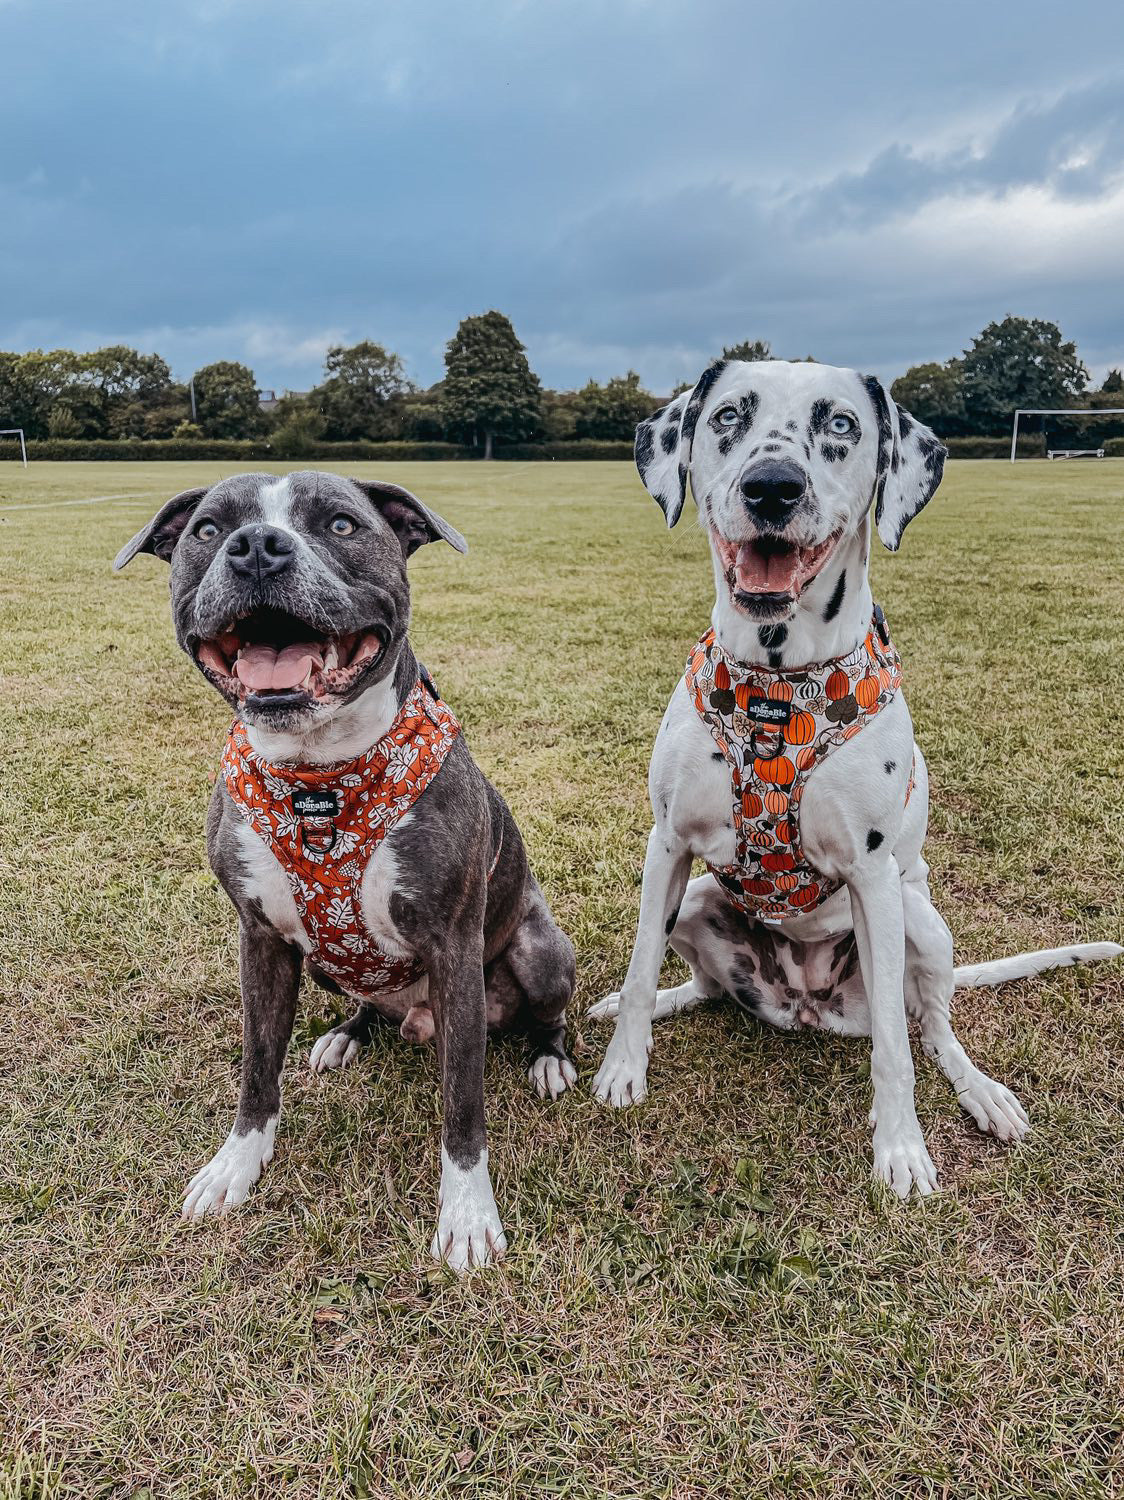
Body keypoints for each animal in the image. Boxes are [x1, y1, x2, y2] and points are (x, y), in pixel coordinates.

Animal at [114, 468, 573, 1266]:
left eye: (339, 525)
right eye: (207, 529)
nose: (257, 548)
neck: (316, 778)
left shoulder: (453, 945)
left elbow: (463, 1100)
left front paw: (466, 1212)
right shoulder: (260, 938)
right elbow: (256, 1066)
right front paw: (237, 1164)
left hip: (538, 950)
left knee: (544, 1014)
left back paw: (548, 1059)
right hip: (325, 963)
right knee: (362, 998)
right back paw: (345, 1036)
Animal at [591, 357, 1116, 1188]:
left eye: (839, 424)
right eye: (728, 416)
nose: (772, 487)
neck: (778, 689)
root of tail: (803, 1002)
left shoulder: (873, 880)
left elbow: (897, 1051)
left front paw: (900, 1147)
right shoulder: (667, 846)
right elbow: (642, 965)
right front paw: (624, 1066)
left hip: (922, 923)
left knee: (931, 1029)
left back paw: (982, 1093)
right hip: (702, 897)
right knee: (705, 985)